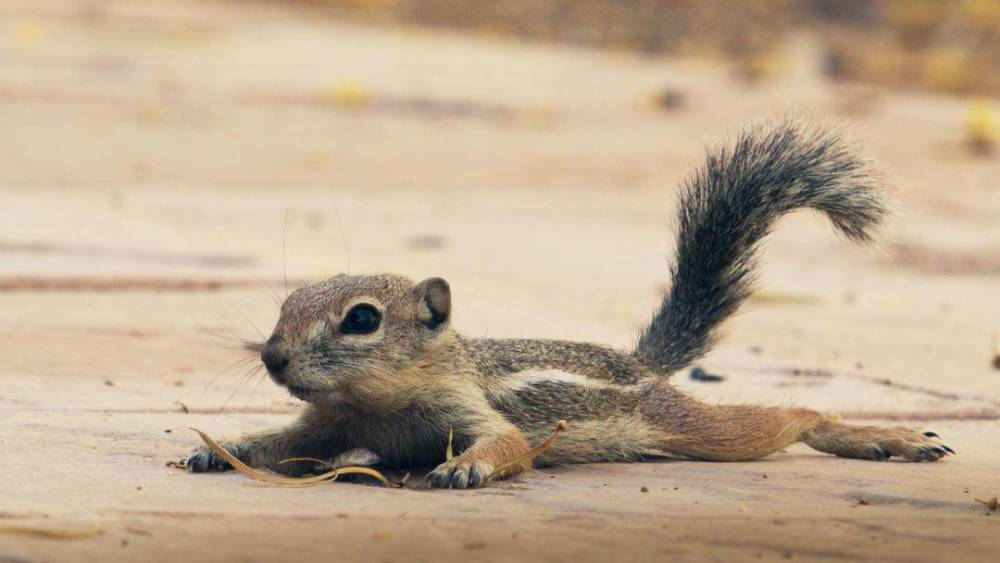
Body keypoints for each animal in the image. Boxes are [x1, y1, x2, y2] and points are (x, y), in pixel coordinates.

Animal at [186, 122, 952, 490]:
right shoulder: (329, 422)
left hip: (692, 427)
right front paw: (222, 449)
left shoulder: (469, 408)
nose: (272, 356)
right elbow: (282, 442)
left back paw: (888, 436)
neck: (377, 408)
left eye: (363, 319)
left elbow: (509, 442)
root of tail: (637, 364)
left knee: (790, 417)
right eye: (285, 304)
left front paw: (465, 467)